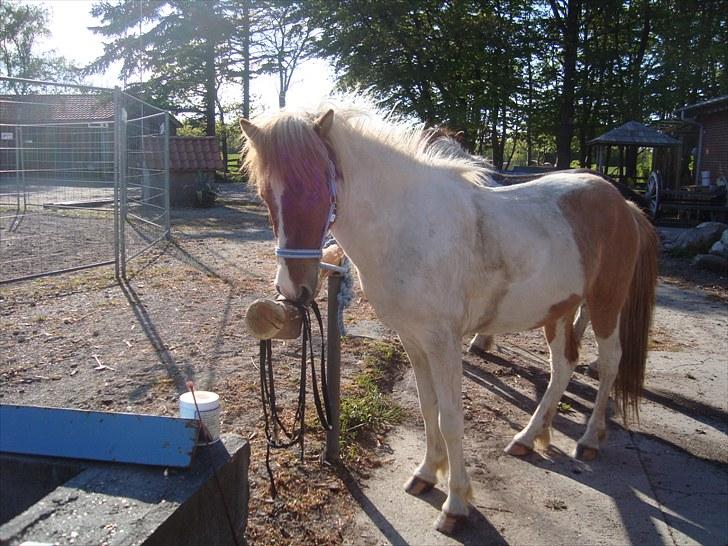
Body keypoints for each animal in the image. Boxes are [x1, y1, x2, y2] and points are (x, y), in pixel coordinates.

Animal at [240, 101, 660, 532]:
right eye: (266, 195)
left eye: (318, 191)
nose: (293, 290)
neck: (409, 227)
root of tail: (623, 205)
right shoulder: (412, 339)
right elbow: (429, 410)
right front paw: (427, 474)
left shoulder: (443, 342)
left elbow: (451, 418)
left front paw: (455, 503)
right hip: (558, 310)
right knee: (563, 367)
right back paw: (528, 438)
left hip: (605, 303)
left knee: (608, 363)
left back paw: (590, 439)